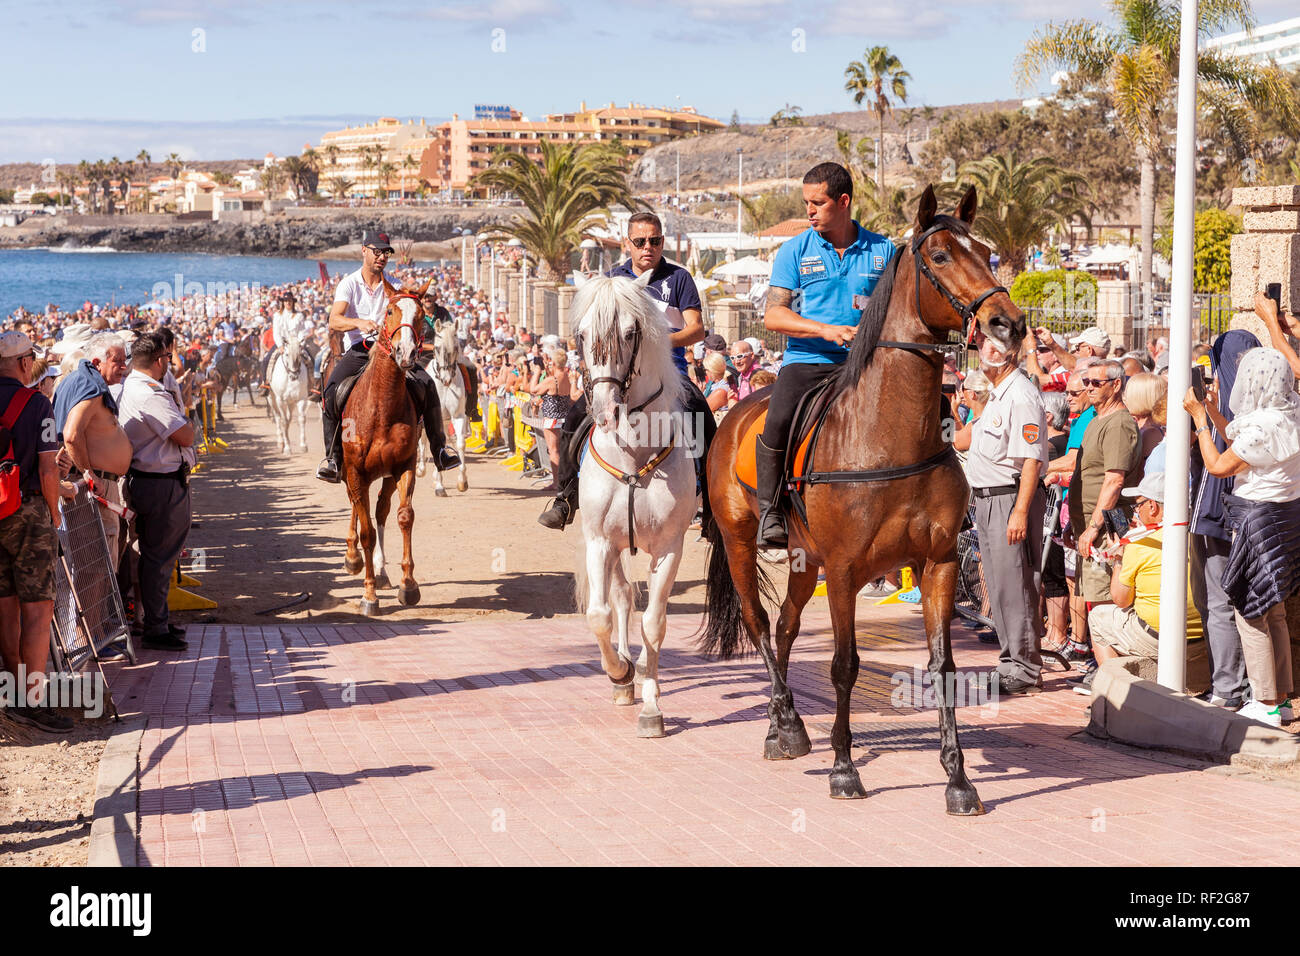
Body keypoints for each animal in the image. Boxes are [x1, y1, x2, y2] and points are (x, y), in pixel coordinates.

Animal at [340, 276, 431, 616]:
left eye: (421, 315)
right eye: (390, 311)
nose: (406, 352)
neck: (381, 405)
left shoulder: (403, 466)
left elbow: (403, 517)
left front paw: (409, 585)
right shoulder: (355, 471)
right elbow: (365, 529)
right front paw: (369, 596)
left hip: (385, 477)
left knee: (379, 511)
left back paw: (381, 571)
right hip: (351, 473)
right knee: (358, 509)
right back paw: (353, 558)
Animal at [415, 318, 470, 496]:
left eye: (456, 348)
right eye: (437, 348)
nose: (446, 379)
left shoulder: (458, 416)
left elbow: (459, 444)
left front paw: (462, 482)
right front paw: (439, 485)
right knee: (422, 442)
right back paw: (421, 470)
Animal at [571, 272, 697, 738]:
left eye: (629, 333)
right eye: (582, 334)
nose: (605, 411)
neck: (634, 454)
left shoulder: (670, 547)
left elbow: (654, 623)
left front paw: (652, 706)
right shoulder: (599, 542)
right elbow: (600, 614)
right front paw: (619, 673)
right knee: (621, 597)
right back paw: (625, 674)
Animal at [699, 185, 1025, 814]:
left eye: (987, 253)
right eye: (941, 256)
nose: (1009, 323)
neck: (890, 433)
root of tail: (736, 412)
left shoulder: (937, 564)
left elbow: (943, 666)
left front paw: (958, 778)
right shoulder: (848, 570)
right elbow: (844, 666)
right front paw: (845, 768)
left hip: (806, 561)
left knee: (785, 628)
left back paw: (787, 724)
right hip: (740, 541)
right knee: (759, 622)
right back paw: (785, 723)